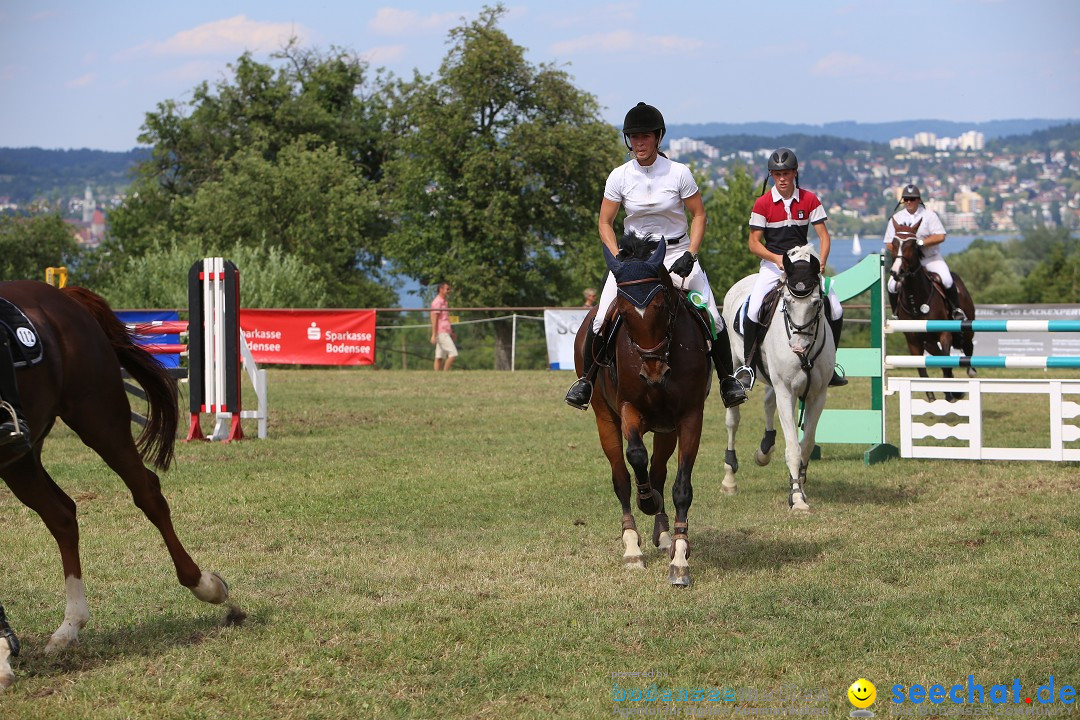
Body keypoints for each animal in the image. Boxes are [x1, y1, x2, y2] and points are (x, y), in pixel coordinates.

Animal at [0, 280, 235, 682]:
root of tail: (61, 295)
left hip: (100, 418)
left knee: (147, 493)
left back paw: (204, 584)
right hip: (20, 460)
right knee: (62, 514)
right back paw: (69, 628)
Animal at [578, 235, 712, 587]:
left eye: (662, 306)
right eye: (623, 313)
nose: (653, 374)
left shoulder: (689, 416)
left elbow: (680, 486)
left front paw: (679, 558)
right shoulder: (629, 408)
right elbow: (636, 456)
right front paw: (646, 501)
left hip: (666, 429)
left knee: (659, 472)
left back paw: (663, 535)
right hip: (604, 418)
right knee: (622, 477)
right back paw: (632, 547)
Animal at [721, 248, 838, 511]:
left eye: (816, 303)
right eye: (787, 302)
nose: (798, 347)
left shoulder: (818, 394)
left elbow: (807, 443)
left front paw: (800, 483)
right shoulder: (786, 391)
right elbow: (793, 446)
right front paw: (797, 498)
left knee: (767, 403)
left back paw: (764, 451)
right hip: (734, 364)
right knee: (733, 419)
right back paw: (729, 479)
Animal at [885, 234, 980, 403]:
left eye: (911, 247)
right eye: (894, 245)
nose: (896, 272)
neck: (916, 302)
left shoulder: (944, 334)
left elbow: (946, 362)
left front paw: (953, 394)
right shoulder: (913, 342)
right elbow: (923, 370)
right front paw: (932, 397)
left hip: (966, 328)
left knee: (967, 346)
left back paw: (971, 371)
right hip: (928, 342)